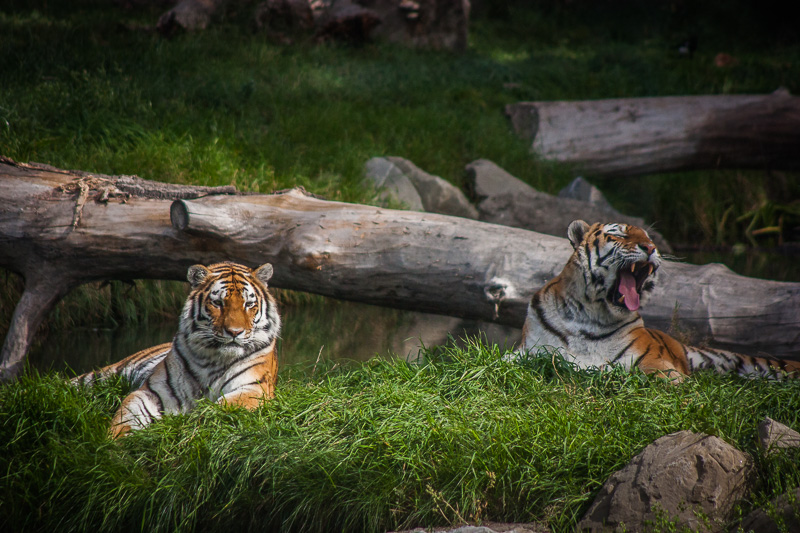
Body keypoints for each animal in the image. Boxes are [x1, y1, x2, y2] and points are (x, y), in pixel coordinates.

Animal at [73, 261, 281, 438]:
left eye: (249, 304)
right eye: (218, 303)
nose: (234, 332)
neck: (214, 359)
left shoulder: (253, 388)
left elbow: (218, 408)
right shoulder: (154, 391)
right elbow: (125, 419)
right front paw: (113, 443)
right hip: (100, 377)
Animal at [509, 220, 800, 381]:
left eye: (648, 238)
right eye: (619, 235)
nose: (651, 248)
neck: (588, 314)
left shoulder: (651, 359)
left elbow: (665, 375)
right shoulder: (528, 351)